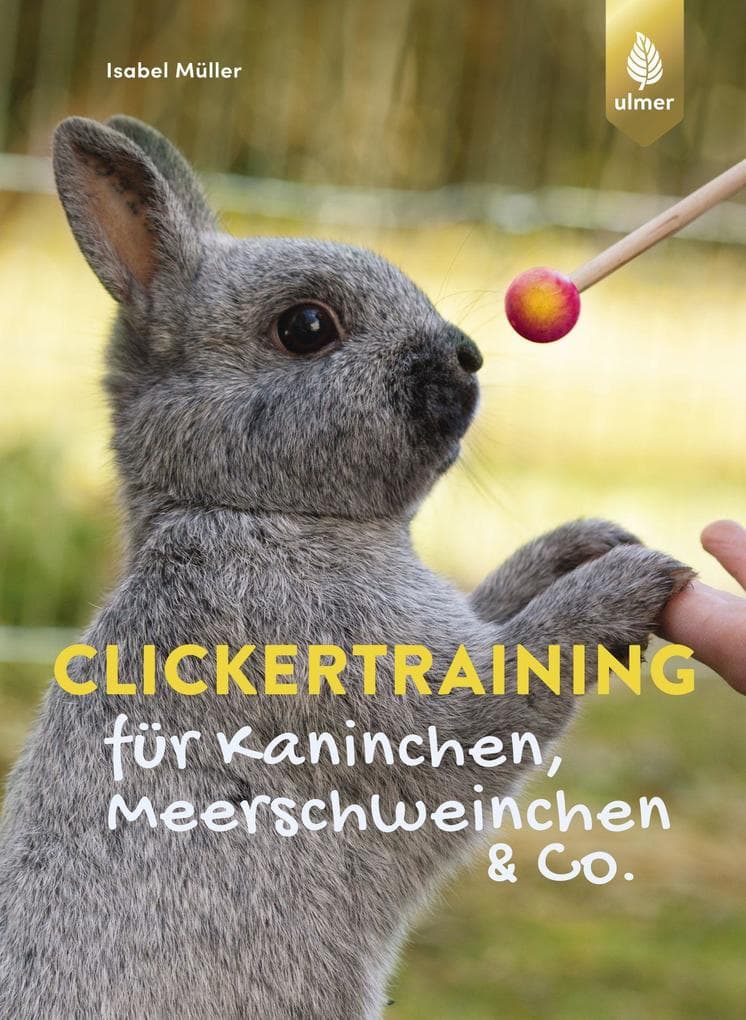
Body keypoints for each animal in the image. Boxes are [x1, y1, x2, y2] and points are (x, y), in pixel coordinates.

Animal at [0, 115, 693, 1020]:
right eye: (306, 327)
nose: (466, 355)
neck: (260, 511)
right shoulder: (401, 705)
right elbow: (519, 670)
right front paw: (624, 582)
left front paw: (586, 544)